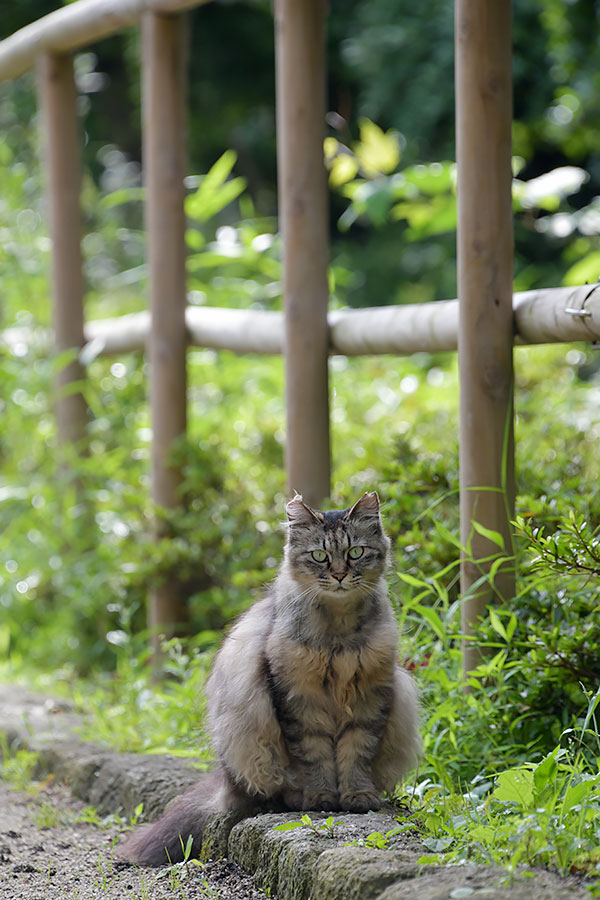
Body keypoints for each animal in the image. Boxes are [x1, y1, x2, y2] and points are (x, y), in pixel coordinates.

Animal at [119, 492, 420, 864]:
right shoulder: (296, 698)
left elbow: (356, 752)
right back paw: (293, 798)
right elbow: (314, 756)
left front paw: (357, 797)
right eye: (319, 556)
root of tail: (224, 788)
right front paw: (321, 798)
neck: (337, 629)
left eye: (355, 552)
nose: (338, 575)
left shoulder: (371, 694)